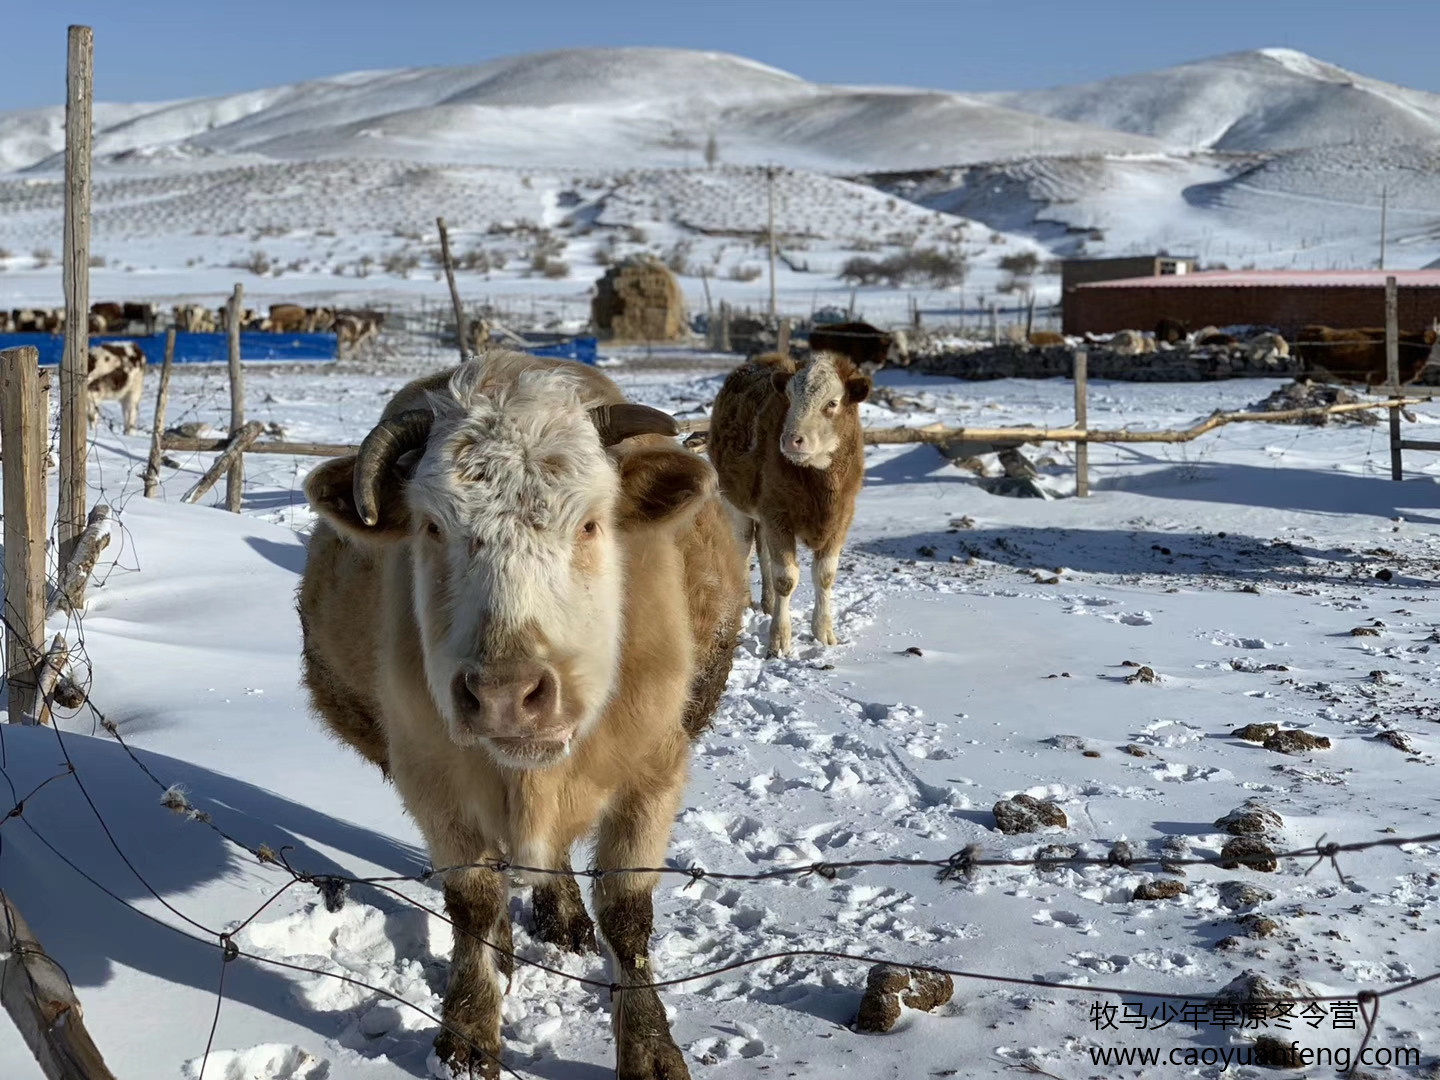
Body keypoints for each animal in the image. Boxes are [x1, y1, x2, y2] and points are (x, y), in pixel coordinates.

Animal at [292, 351, 743, 1077]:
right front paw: (470, 1031)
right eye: (432, 526)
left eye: (589, 523)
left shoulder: (653, 773)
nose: (506, 693)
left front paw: (650, 1048)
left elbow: (627, 916)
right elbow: (472, 902)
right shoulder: (432, 781)